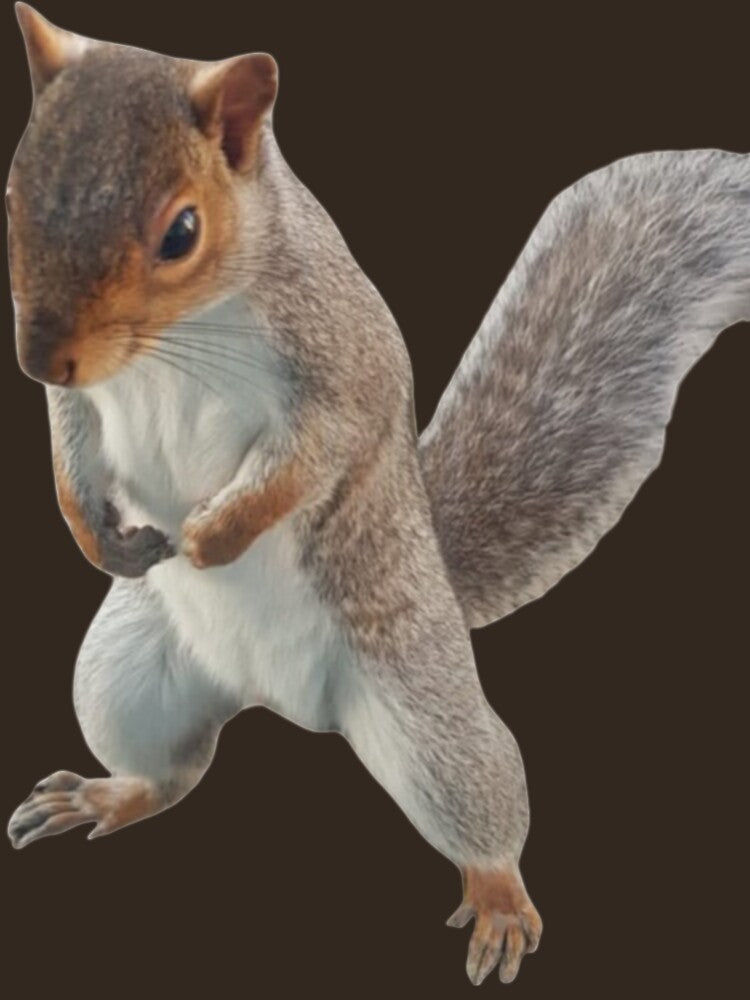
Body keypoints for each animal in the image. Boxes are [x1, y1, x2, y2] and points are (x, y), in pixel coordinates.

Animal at [5, 4, 749, 986]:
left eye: (181, 231)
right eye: (13, 194)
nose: (37, 357)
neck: (180, 335)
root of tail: (279, 701)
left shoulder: (340, 360)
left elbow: (317, 454)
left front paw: (213, 537)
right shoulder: (85, 400)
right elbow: (70, 443)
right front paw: (98, 536)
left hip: (425, 716)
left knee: (486, 804)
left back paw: (499, 900)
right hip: (120, 679)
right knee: (169, 773)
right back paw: (104, 794)